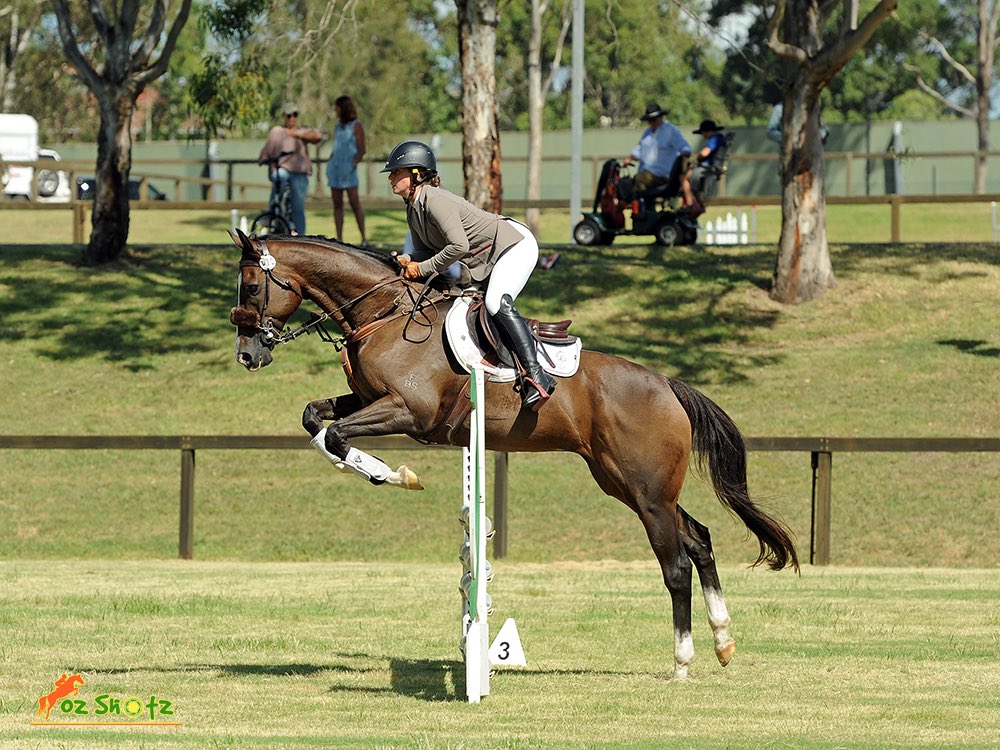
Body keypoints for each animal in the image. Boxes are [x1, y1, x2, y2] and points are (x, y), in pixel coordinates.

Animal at [228, 229, 798, 679]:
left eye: (252, 286)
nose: (248, 355)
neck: (383, 314)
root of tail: (665, 384)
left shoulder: (406, 412)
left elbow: (336, 437)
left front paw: (394, 474)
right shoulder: (367, 400)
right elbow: (315, 419)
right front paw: (377, 469)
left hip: (647, 491)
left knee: (676, 564)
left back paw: (682, 662)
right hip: (626, 483)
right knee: (699, 540)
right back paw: (723, 642)